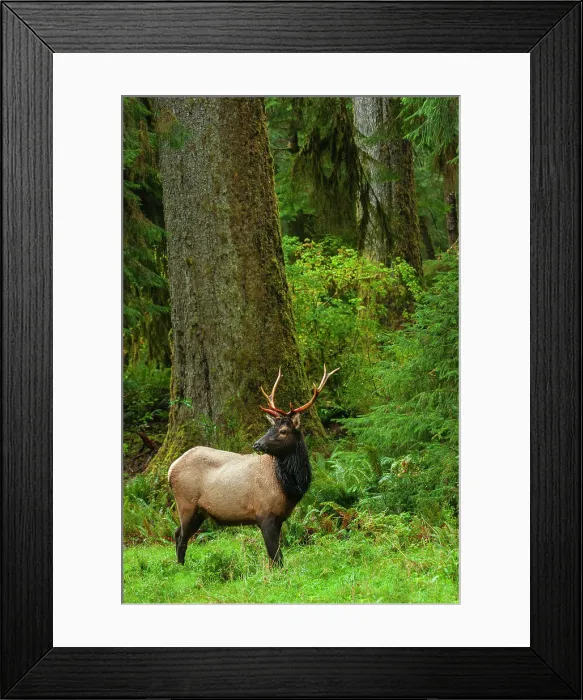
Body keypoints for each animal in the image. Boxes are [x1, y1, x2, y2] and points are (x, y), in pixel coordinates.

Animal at [168, 365, 338, 566]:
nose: (257, 444)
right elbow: (276, 556)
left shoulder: (280, 517)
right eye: (270, 428)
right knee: (181, 536)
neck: (288, 487)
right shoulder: (264, 513)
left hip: (200, 511)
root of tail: (171, 469)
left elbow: (276, 556)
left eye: (283, 431)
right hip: (186, 503)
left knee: (178, 532)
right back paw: (181, 567)